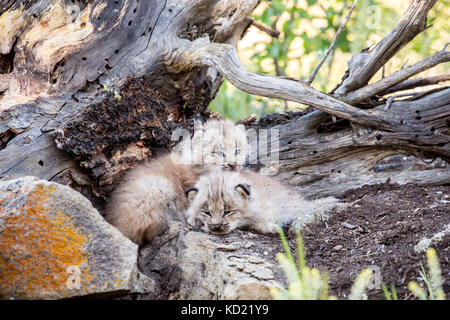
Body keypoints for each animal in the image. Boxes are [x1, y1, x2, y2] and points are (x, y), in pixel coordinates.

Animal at [185, 170, 338, 235]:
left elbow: (255, 221)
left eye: (228, 212)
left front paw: (270, 227)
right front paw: (194, 218)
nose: (216, 226)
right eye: (207, 212)